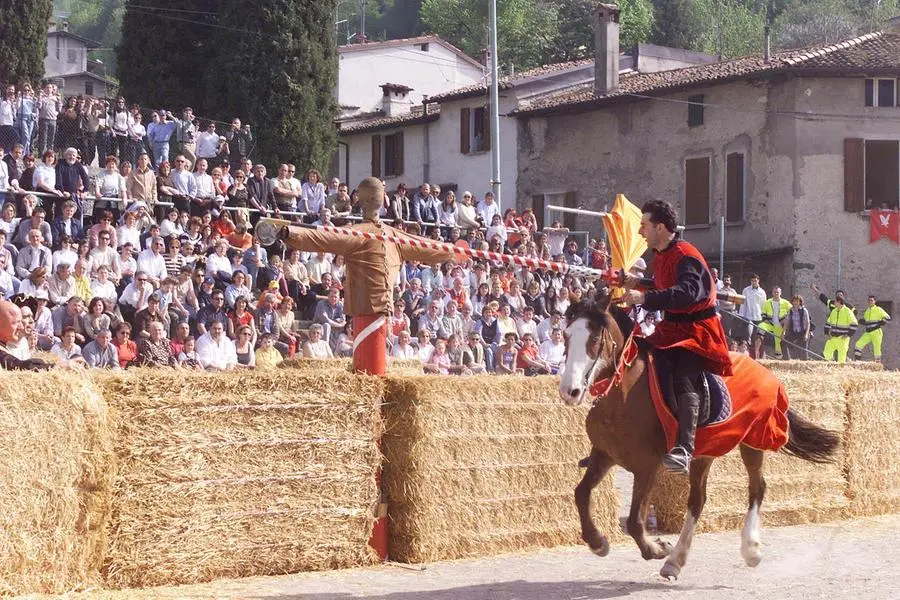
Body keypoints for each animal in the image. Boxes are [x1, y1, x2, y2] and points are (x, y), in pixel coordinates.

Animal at [560, 298, 840, 580]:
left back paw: (750, 550)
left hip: (753, 441)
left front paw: (656, 548)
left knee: (756, 488)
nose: (569, 391)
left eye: (595, 338)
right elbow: (580, 494)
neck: (624, 396)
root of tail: (765, 369)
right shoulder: (604, 455)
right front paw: (597, 541)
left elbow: (635, 521)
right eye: (566, 335)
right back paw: (676, 560)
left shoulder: (647, 466)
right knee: (697, 500)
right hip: (704, 454)